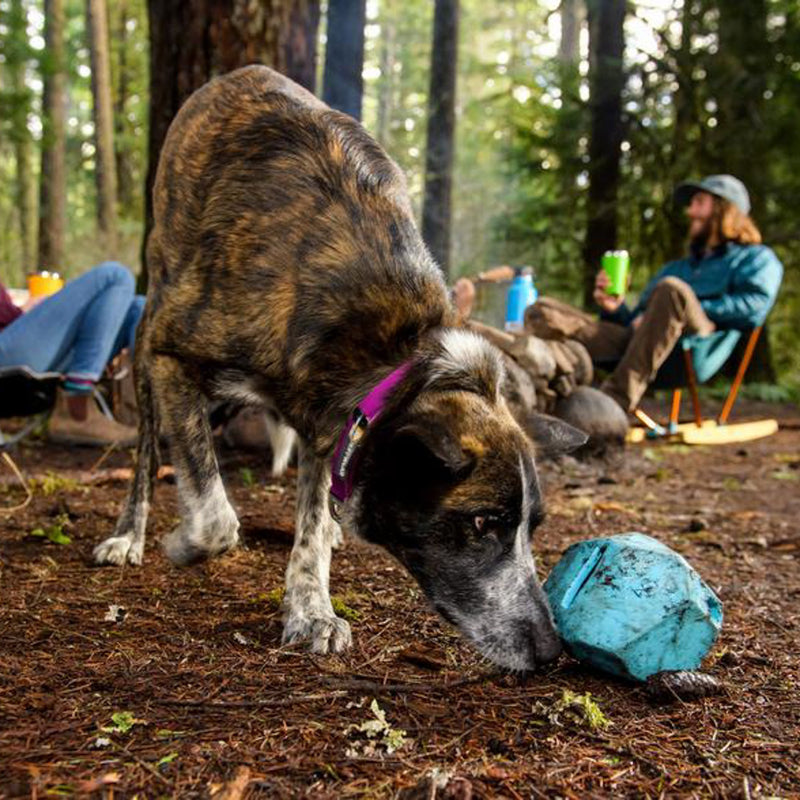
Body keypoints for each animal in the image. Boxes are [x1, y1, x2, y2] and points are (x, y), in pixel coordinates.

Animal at [94, 65, 580, 672]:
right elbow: (215, 517)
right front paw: (182, 543)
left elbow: (307, 526)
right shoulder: (172, 357)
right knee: (144, 455)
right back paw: (128, 535)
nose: (551, 650)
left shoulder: (332, 424)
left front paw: (310, 609)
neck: (394, 350)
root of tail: (237, 74)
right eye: (482, 524)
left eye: (533, 528)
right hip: (148, 334)